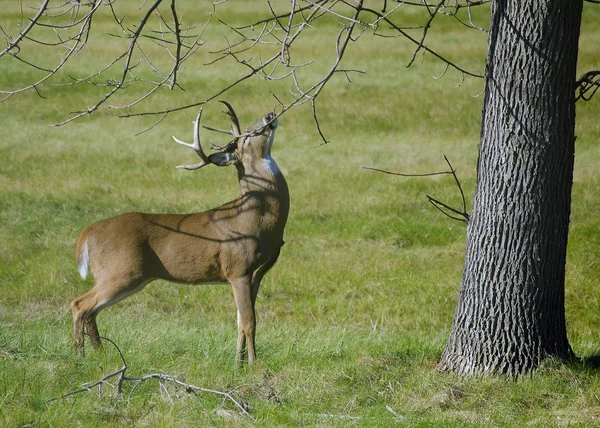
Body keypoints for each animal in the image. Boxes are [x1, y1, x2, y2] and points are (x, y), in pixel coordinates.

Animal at [70, 100, 290, 364]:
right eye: (246, 137)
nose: (270, 115)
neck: (255, 218)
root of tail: (88, 231)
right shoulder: (238, 269)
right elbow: (249, 323)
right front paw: (253, 364)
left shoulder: (256, 274)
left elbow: (239, 323)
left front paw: (238, 363)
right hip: (120, 270)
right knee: (79, 304)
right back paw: (79, 356)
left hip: (126, 275)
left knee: (91, 311)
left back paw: (99, 354)